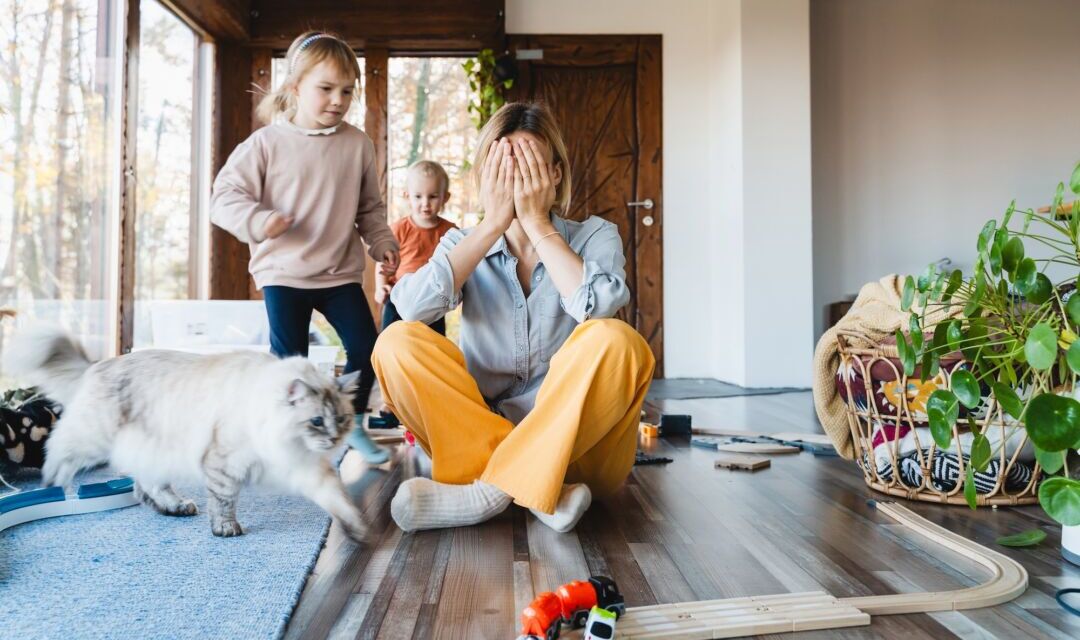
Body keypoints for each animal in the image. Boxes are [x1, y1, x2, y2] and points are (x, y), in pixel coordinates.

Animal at [2, 325, 369, 541]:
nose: (334, 440)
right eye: (317, 421)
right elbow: (224, 501)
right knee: (58, 449)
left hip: (155, 453)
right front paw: (225, 529)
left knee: (144, 488)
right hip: (93, 438)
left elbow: (337, 499)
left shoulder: (307, 468)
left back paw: (175, 507)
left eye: (341, 419)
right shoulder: (224, 464)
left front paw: (358, 530)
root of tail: (100, 363)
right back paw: (55, 487)